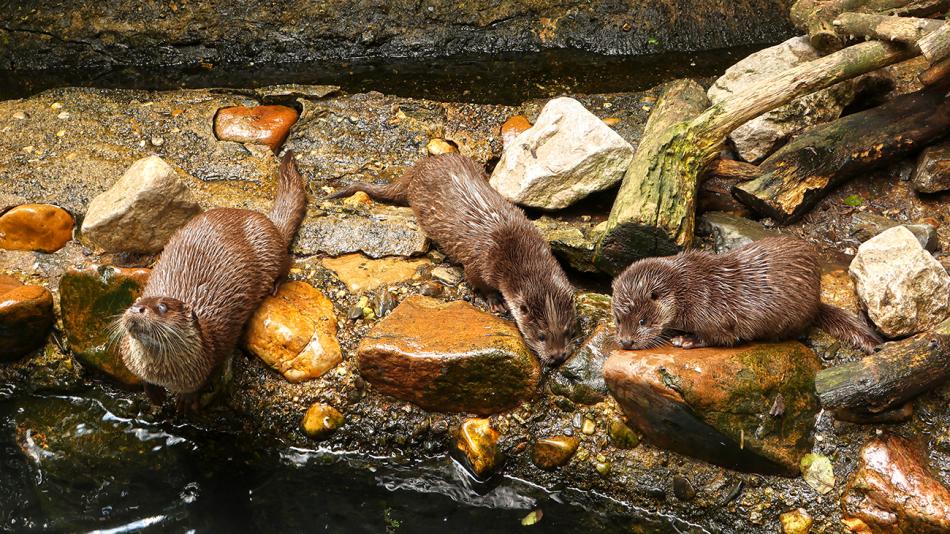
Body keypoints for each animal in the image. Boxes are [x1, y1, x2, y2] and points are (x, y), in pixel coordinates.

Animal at [117, 151, 306, 410]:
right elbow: (143, 380)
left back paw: (276, 286)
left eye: (162, 307)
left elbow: (201, 384)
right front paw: (154, 396)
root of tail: (266, 222)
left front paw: (185, 400)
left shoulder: (212, 356)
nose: (137, 310)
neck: (164, 374)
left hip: (269, 250)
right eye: (135, 303)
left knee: (287, 260)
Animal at [330, 153, 576, 366]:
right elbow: (477, 281)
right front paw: (495, 301)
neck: (516, 249)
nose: (558, 356)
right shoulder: (480, 263)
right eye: (541, 336)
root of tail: (422, 165)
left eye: (567, 331)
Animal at [612, 237, 880, 354]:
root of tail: (816, 301)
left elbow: (720, 337)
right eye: (618, 320)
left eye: (643, 321)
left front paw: (685, 340)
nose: (626, 342)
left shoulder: (716, 317)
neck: (691, 289)